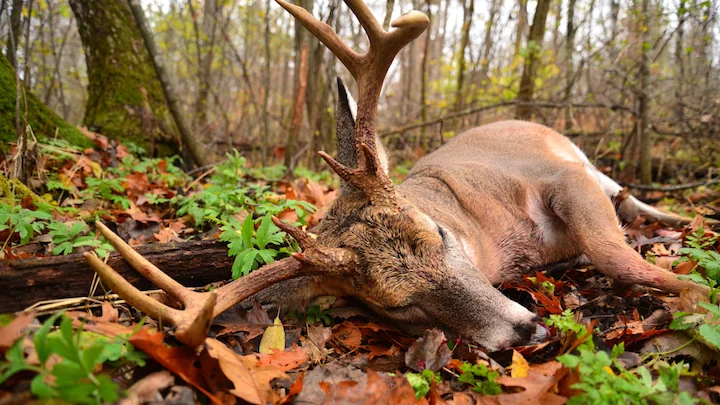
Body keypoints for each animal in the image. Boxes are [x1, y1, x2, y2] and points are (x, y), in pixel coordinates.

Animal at [83, 0, 708, 352]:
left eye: (441, 235)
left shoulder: (558, 176)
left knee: (626, 196)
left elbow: (610, 251)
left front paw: (700, 293)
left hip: (583, 160)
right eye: (397, 306)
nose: (527, 332)